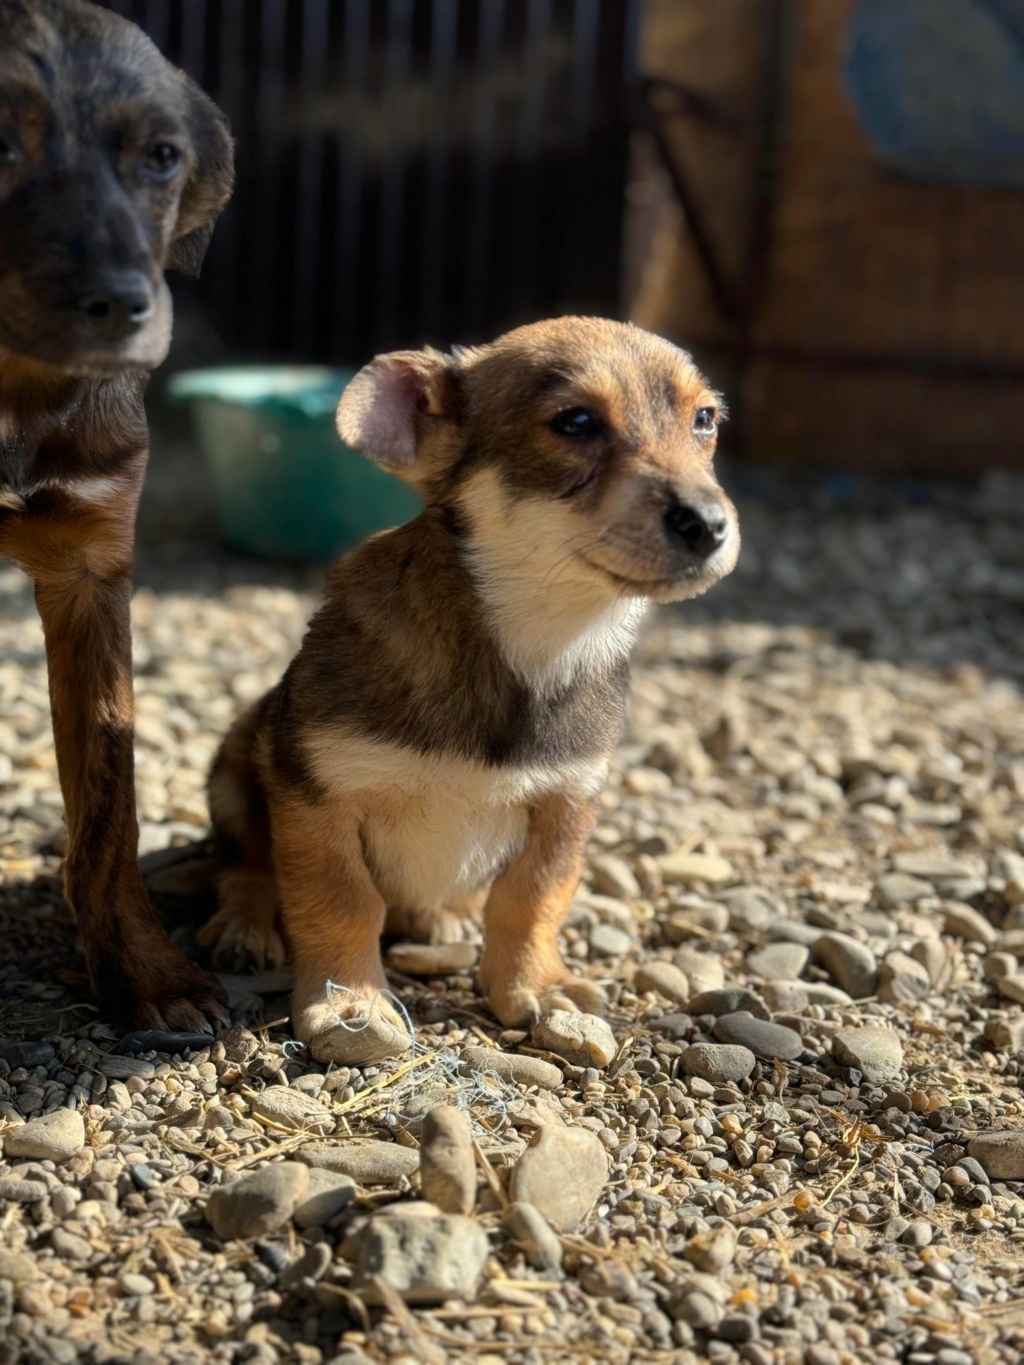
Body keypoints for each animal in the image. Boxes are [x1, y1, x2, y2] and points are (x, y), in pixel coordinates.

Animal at [200, 313, 742, 1059]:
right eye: (575, 422)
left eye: (704, 419)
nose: (710, 525)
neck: (536, 638)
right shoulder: (317, 796)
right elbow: (342, 900)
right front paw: (350, 1002)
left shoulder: (566, 804)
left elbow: (531, 900)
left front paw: (536, 986)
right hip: (234, 766)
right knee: (242, 867)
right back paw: (245, 928)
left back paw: (441, 915)